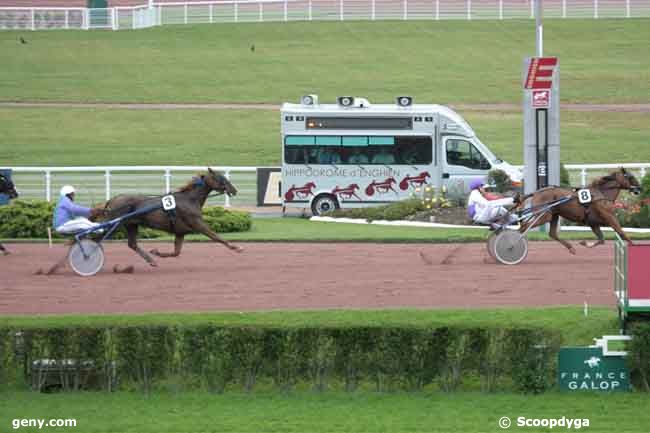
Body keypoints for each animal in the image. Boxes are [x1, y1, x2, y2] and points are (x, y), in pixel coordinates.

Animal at [98, 168, 243, 266]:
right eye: (221, 177)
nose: (234, 190)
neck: (189, 199)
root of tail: (111, 200)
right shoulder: (198, 224)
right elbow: (216, 236)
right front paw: (236, 248)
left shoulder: (180, 232)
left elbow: (176, 252)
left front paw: (156, 252)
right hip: (114, 224)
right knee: (96, 238)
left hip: (131, 224)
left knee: (132, 244)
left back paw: (151, 261)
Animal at [512, 166, 640, 253]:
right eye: (631, 177)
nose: (639, 188)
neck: (601, 194)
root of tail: (537, 192)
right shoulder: (610, 217)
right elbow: (622, 233)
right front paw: (634, 246)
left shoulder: (593, 223)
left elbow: (601, 239)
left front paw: (584, 243)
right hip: (544, 215)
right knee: (524, 227)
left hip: (554, 215)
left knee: (552, 233)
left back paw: (571, 248)